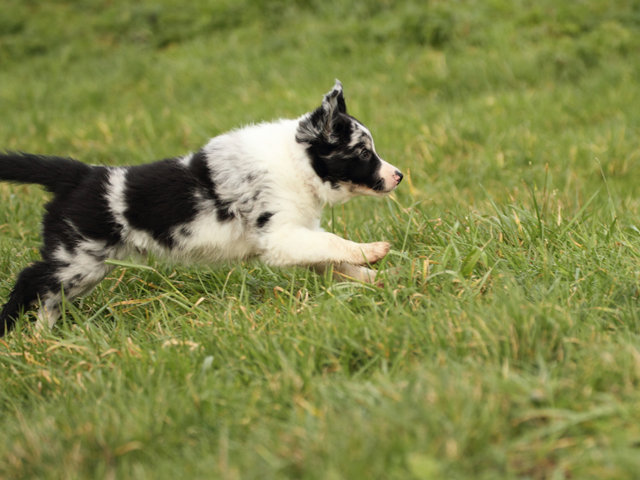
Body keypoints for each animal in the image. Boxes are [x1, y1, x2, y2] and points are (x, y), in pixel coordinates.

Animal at [0, 80, 402, 335]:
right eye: (363, 153)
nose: (398, 176)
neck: (297, 162)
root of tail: (80, 174)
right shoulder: (280, 237)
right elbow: (335, 243)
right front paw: (374, 251)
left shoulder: (295, 237)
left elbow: (334, 261)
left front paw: (380, 280)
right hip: (77, 260)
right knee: (30, 280)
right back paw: (12, 331)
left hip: (85, 269)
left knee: (49, 298)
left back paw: (43, 338)